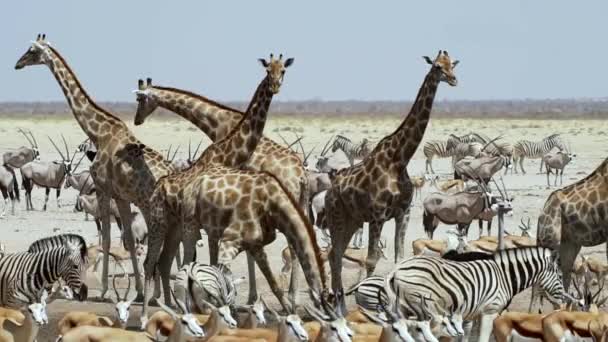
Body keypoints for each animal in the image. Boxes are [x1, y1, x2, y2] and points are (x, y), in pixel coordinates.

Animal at [14, 34, 175, 300]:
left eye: (32, 50)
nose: (18, 64)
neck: (98, 133)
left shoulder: (102, 188)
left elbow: (108, 239)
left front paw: (105, 291)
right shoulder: (120, 195)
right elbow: (128, 240)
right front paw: (138, 290)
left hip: (152, 206)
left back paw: (158, 296)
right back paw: (158, 294)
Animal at [326, 50, 458, 302]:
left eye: (453, 65)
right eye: (437, 66)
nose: (454, 79)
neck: (399, 159)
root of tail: (330, 187)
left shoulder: (403, 213)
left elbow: (400, 258)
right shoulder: (377, 215)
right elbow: (371, 260)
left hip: (352, 219)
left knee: (334, 253)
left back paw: (337, 298)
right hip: (336, 216)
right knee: (334, 254)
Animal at [388, 247, 568, 340]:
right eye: (560, 276)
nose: (563, 303)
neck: (504, 276)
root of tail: (397, 268)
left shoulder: (476, 313)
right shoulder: (490, 311)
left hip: (405, 307)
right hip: (423, 305)